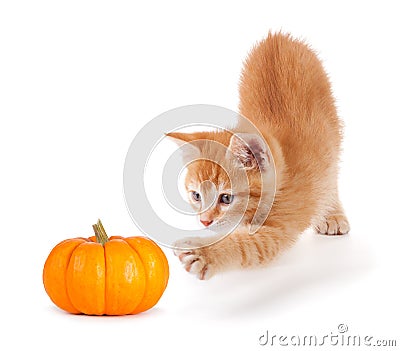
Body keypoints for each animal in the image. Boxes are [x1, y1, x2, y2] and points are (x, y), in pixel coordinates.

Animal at [167, 33, 348, 280]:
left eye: (226, 198)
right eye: (196, 196)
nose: (204, 221)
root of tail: (279, 36)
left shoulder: (284, 220)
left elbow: (250, 245)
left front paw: (205, 253)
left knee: (333, 171)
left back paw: (333, 213)